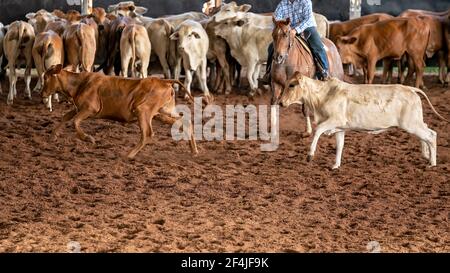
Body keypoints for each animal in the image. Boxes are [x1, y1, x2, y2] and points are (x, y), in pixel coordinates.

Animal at [41, 64, 197, 157]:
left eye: (46, 77)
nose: (42, 94)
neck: (80, 83)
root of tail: (164, 81)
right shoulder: (78, 108)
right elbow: (66, 117)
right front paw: (53, 135)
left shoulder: (89, 108)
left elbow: (75, 122)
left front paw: (88, 138)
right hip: (162, 112)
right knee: (184, 122)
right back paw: (194, 150)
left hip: (143, 110)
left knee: (147, 133)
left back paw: (129, 155)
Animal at [278, 73, 446, 169]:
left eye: (291, 85)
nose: (280, 102)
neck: (324, 95)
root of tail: (410, 89)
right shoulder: (340, 128)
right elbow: (340, 146)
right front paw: (335, 165)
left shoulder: (334, 119)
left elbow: (318, 130)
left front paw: (310, 155)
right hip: (415, 122)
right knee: (427, 132)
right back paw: (426, 155)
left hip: (411, 124)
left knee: (431, 135)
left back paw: (432, 163)